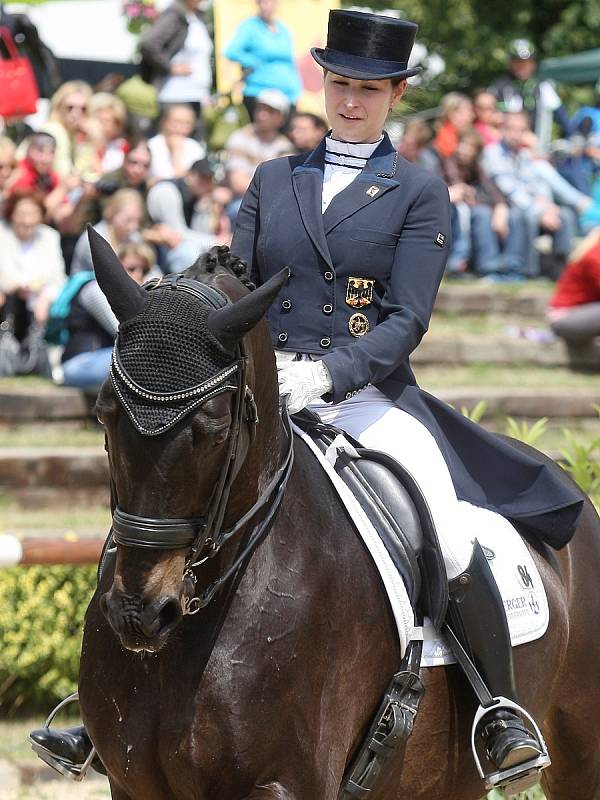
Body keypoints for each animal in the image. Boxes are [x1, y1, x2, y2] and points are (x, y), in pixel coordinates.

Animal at [81, 233, 600, 800]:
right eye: (105, 413)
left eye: (214, 429)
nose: (140, 613)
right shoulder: (130, 783)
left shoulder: (286, 781)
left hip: (578, 752)